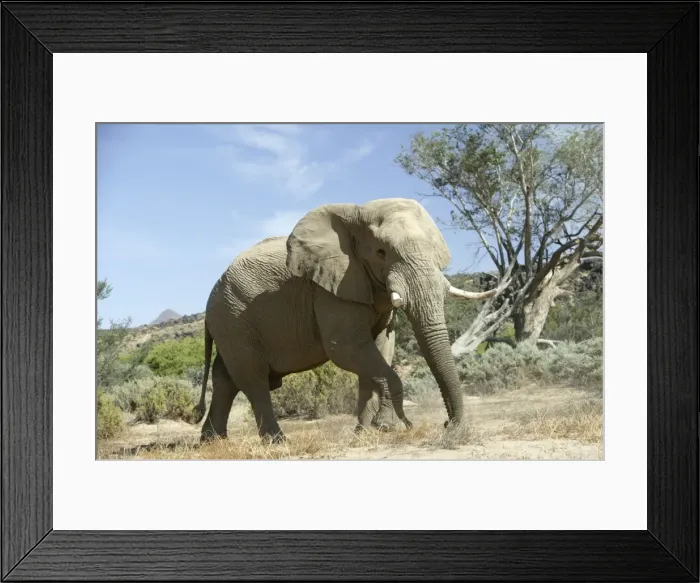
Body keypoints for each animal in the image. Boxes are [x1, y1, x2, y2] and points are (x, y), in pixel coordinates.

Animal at [191, 197, 498, 443]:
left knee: (226, 379)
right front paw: (388, 426)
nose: (448, 425)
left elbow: (381, 347)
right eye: (381, 253)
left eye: (435, 251)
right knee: (252, 379)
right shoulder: (330, 289)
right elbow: (346, 348)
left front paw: (366, 433)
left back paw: (212, 442)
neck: (358, 213)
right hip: (233, 318)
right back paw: (277, 443)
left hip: (231, 323)